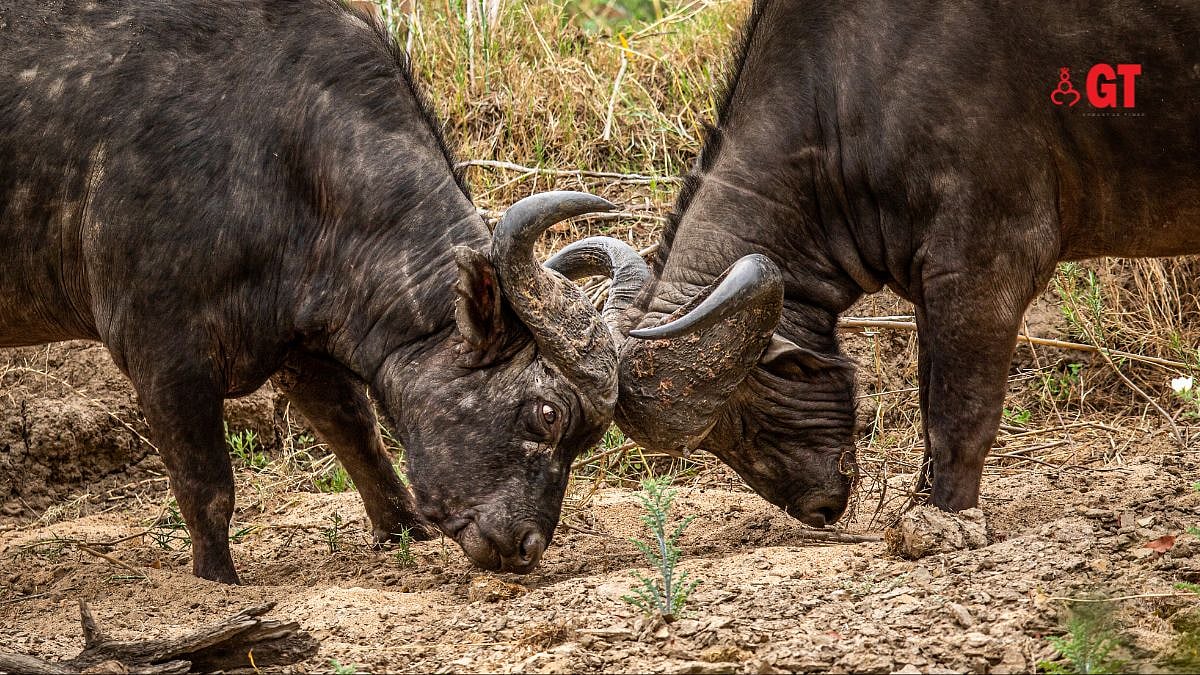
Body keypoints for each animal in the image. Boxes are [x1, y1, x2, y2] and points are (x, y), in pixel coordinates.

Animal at [0, 0, 649, 583]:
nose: (527, 548)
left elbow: (357, 434)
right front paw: (218, 580)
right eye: (547, 414)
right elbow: (206, 485)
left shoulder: (299, 348)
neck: (282, 156)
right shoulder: (161, 353)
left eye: (588, 441)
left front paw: (403, 530)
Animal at [552, 0, 1199, 525]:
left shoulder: (985, 272)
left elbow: (960, 414)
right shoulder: (933, 289)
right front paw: (922, 503)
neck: (852, 93)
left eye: (736, 419)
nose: (818, 508)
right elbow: (930, 398)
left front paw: (943, 521)